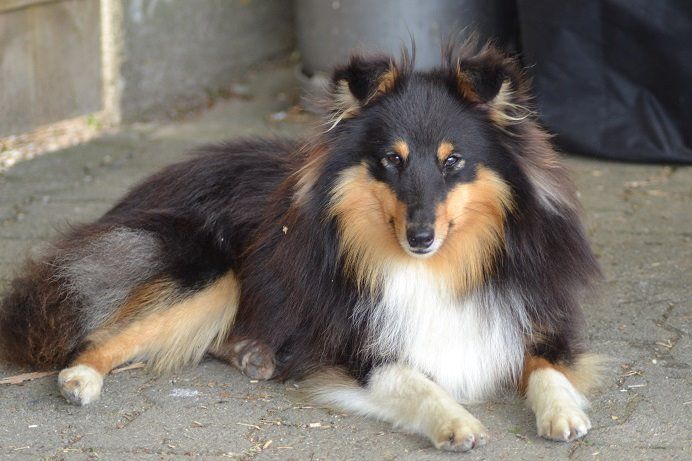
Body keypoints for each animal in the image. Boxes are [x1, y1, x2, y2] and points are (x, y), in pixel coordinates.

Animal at [0, 41, 604, 452]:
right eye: (392, 159)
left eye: (453, 160)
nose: (420, 238)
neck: (439, 269)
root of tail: (151, 183)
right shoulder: (354, 345)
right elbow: (414, 379)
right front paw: (458, 422)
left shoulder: (531, 315)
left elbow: (546, 366)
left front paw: (563, 414)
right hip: (211, 271)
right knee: (99, 334)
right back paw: (80, 379)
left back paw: (253, 353)